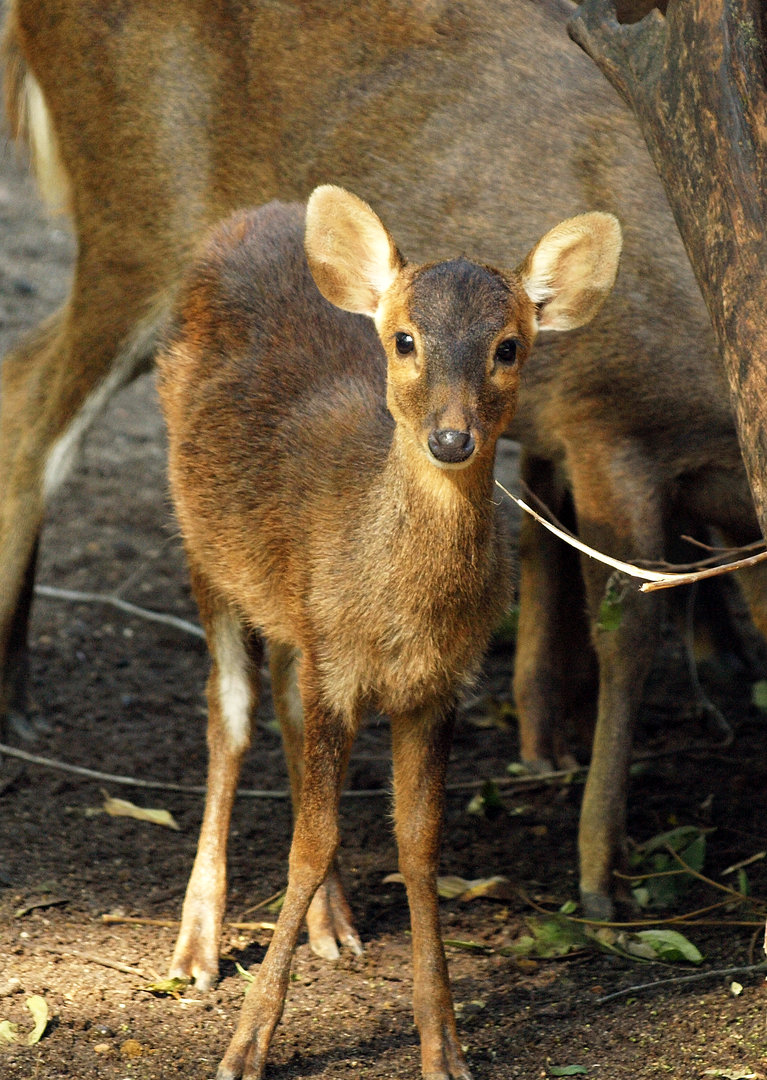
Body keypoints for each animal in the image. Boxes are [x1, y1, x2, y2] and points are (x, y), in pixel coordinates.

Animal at [1, 0, 765, 932]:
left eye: (509, 346)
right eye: (403, 341)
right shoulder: (604, 422)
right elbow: (627, 629)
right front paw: (597, 873)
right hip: (130, 217)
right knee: (28, 406)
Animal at [156, 183, 621, 1079]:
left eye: (509, 346)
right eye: (404, 339)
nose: (450, 437)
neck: (397, 614)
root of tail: (258, 215)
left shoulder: (437, 683)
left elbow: (417, 844)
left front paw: (444, 1046)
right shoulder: (335, 663)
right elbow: (309, 840)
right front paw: (245, 1046)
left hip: (294, 618)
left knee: (284, 711)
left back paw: (333, 925)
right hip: (204, 544)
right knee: (230, 715)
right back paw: (196, 947)